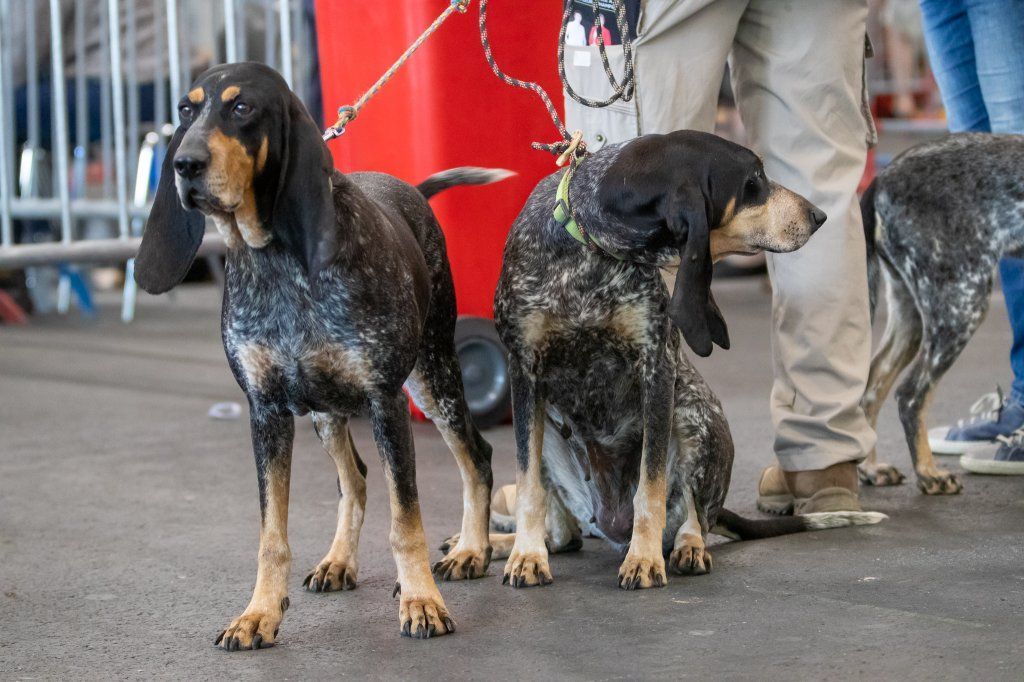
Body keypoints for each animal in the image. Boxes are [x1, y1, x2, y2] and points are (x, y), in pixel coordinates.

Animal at [132, 65, 507, 647]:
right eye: (185, 110)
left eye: (242, 109)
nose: (184, 164)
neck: (278, 263)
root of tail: (411, 190)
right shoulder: (266, 412)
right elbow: (272, 534)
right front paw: (259, 612)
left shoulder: (386, 403)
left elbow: (406, 523)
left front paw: (421, 601)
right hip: (324, 412)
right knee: (355, 478)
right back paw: (339, 560)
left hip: (434, 377)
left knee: (475, 457)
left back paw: (470, 550)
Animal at [442, 130, 888, 585]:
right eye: (754, 181)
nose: (818, 215)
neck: (591, 246)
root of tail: (608, 523)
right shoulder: (525, 372)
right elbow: (528, 483)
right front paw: (526, 556)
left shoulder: (656, 368)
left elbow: (650, 486)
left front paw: (644, 558)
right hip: (551, 427)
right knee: (565, 535)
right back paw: (489, 545)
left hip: (693, 413)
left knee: (695, 518)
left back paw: (686, 547)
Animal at [860, 133, 1024, 491]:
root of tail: (881, 179)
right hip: (961, 305)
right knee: (910, 396)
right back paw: (928, 474)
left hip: (912, 315)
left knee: (871, 386)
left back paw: (870, 468)